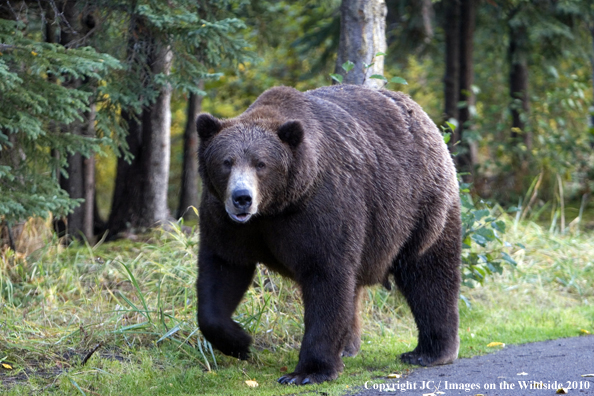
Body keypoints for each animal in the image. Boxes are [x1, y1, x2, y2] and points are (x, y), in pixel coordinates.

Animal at [197, 83, 460, 384]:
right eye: (226, 161)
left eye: (260, 163)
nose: (242, 198)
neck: (275, 207)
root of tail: (425, 119)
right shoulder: (227, 222)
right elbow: (222, 271)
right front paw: (240, 342)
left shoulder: (322, 210)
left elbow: (326, 277)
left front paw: (307, 371)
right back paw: (349, 346)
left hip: (420, 205)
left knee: (428, 272)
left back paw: (428, 352)